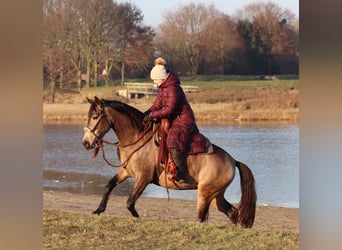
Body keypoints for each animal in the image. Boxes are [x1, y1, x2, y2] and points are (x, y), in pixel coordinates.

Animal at [81, 96, 255, 229]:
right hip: (215, 197)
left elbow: (130, 202)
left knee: (202, 217)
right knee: (232, 212)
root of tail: (232, 161)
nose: (86, 143)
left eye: (95, 117)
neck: (136, 139)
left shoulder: (143, 178)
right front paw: (99, 209)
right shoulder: (126, 172)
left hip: (205, 194)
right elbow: (109, 186)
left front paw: (138, 218)